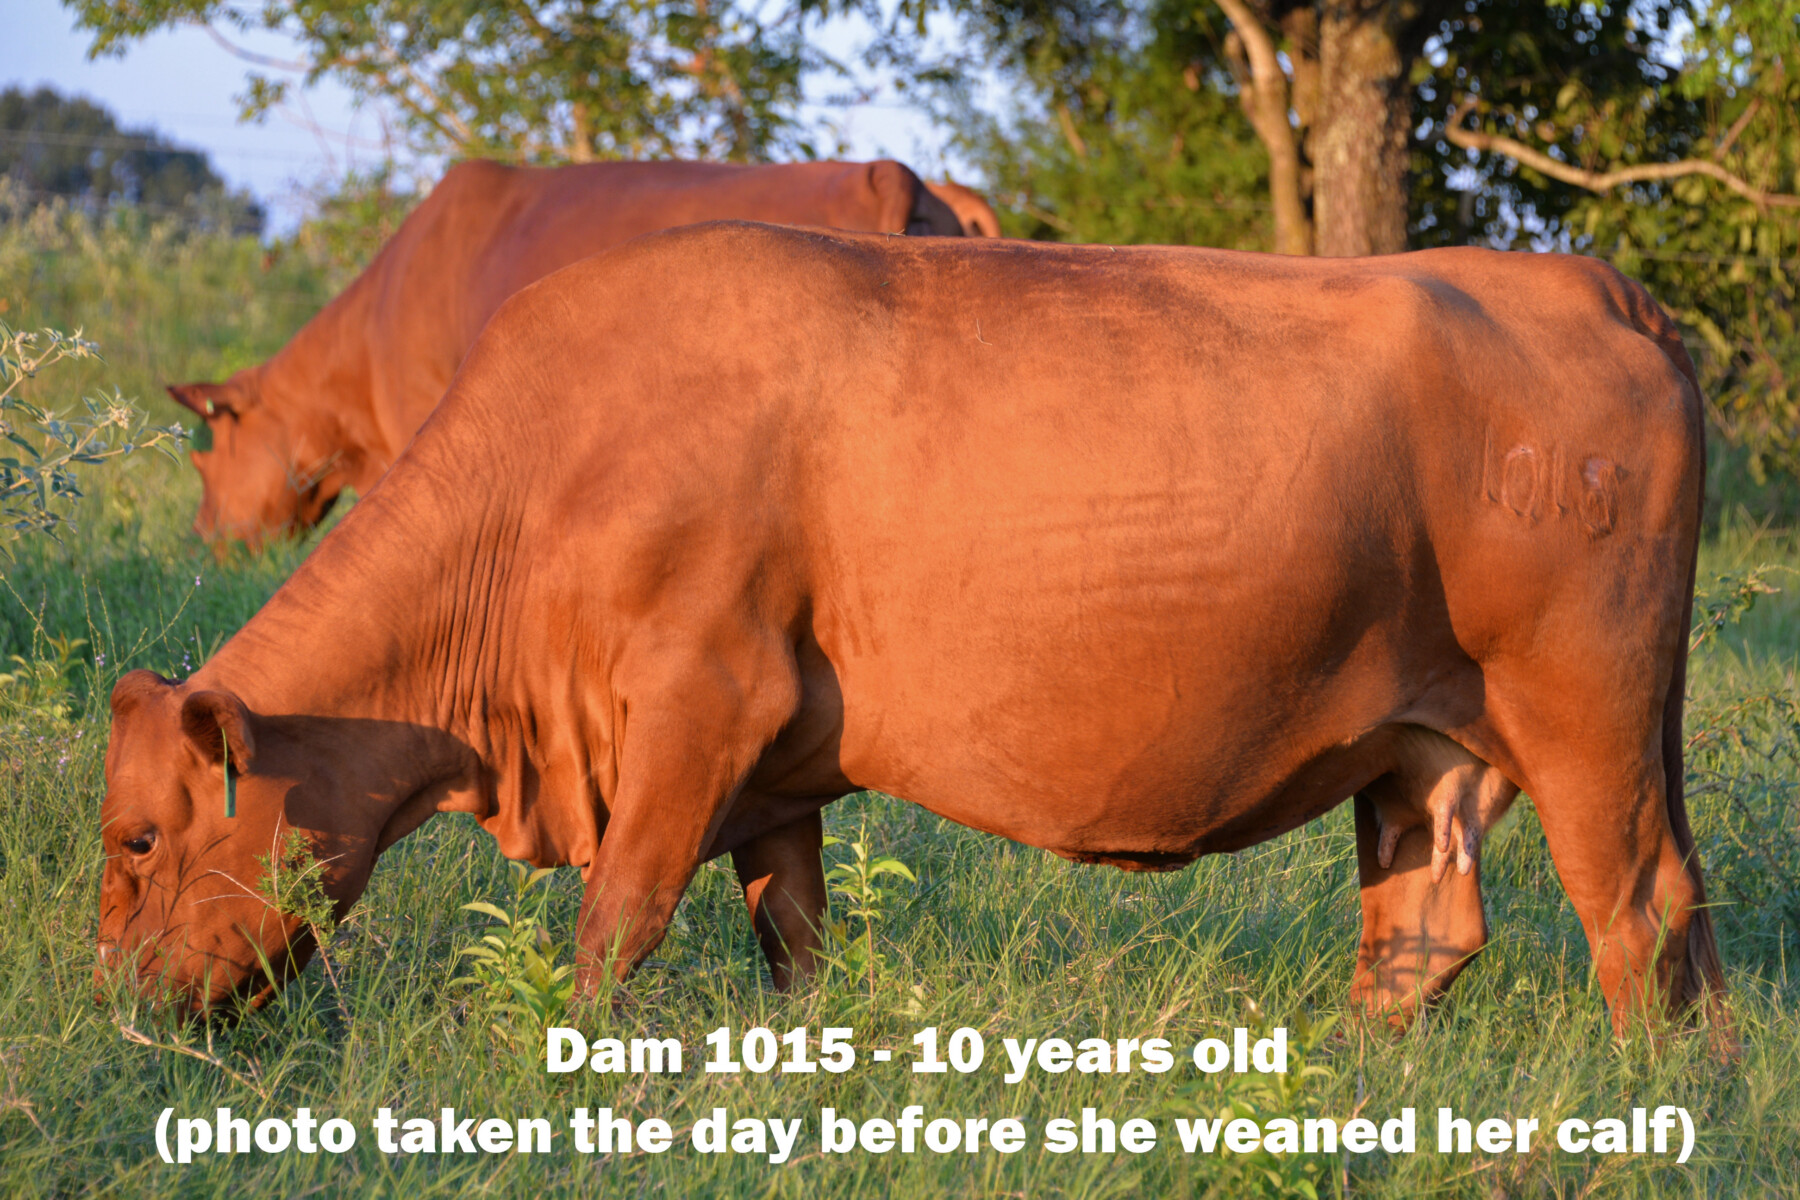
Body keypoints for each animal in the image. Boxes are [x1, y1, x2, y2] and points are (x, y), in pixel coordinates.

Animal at [102, 223, 1726, 1039]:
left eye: (136, 838)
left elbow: (615, 926)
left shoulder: (699, 700)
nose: (115, 1006)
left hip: (1586, 712)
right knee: (1427, 932)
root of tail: (1582, 280)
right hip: (1424, 743)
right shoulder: (773, 764)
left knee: (1639, 916)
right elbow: (792, 933)